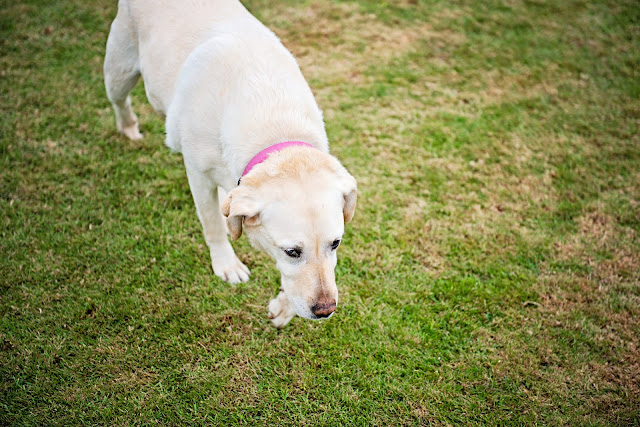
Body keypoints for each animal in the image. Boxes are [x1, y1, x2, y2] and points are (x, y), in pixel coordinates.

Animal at [102, 0, 358, 332]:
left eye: (336, 243)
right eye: (291, 252)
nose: (326, 310)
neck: (274, 123)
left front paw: (284, 308)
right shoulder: (197, 173)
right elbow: (211, 223)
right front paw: (226, 264)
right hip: (119, 71)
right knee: (120, 101)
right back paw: (129, 128)